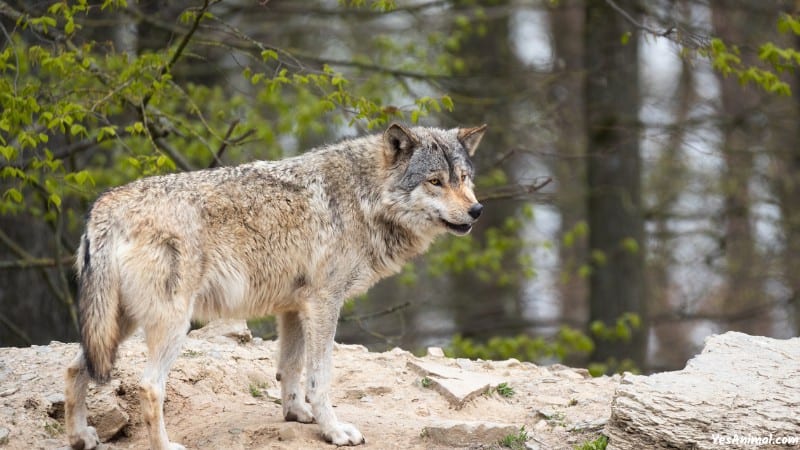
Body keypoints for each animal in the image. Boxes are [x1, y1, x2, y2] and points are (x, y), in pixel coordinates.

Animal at [64, 121, 488, 448]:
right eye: (435, 182)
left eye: (464, 178)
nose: (477, 210)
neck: (364, 197)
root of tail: (104, 207)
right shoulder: (324, 303)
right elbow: (320, 378)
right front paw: (333, 431)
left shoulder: (295, 308)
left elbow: (291, 367)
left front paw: (296, 413)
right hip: (171, 326)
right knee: (150, 387)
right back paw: (164, 446)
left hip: (117, 326)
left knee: (74, 367)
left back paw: (80, 437)